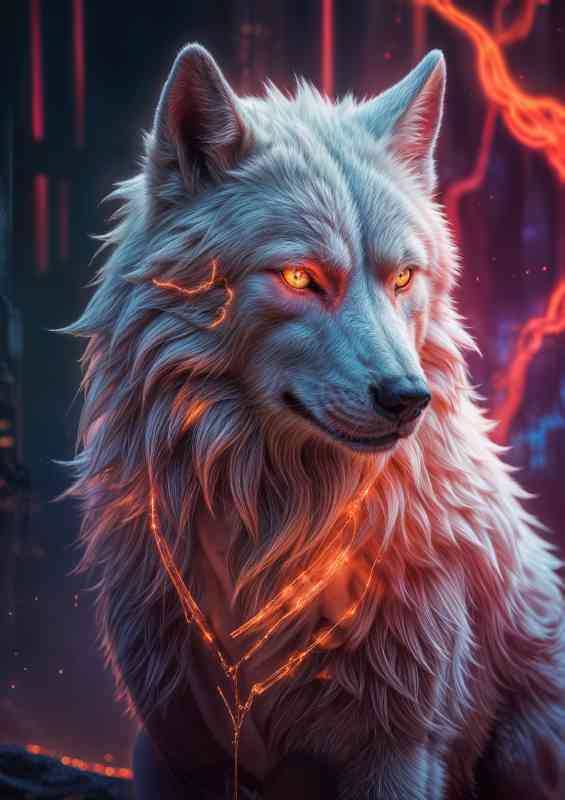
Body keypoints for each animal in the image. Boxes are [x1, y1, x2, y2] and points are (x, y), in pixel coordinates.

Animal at [60, 43, 565, 799]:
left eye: (402, 278)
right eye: (300, 278)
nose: (407, 398)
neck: (272, 529)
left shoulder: (399, 750)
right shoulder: (174, 745)